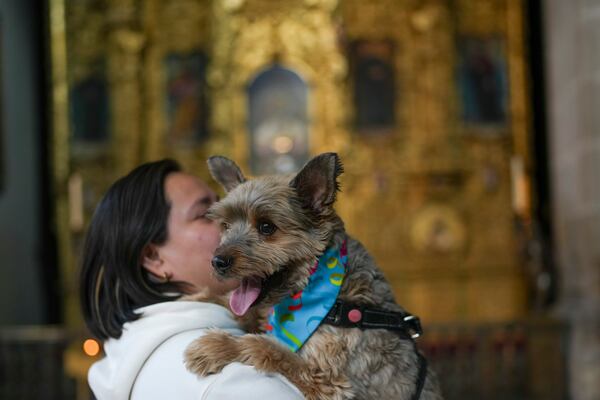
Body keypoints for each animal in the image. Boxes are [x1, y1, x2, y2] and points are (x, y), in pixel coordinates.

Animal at [185, 153, 442, 400]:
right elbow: (243, 309)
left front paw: (216, 346)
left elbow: (264, 346)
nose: (218, 262)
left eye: (267, 227)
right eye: (225, 225)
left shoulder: (328, 381)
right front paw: (196, 298)